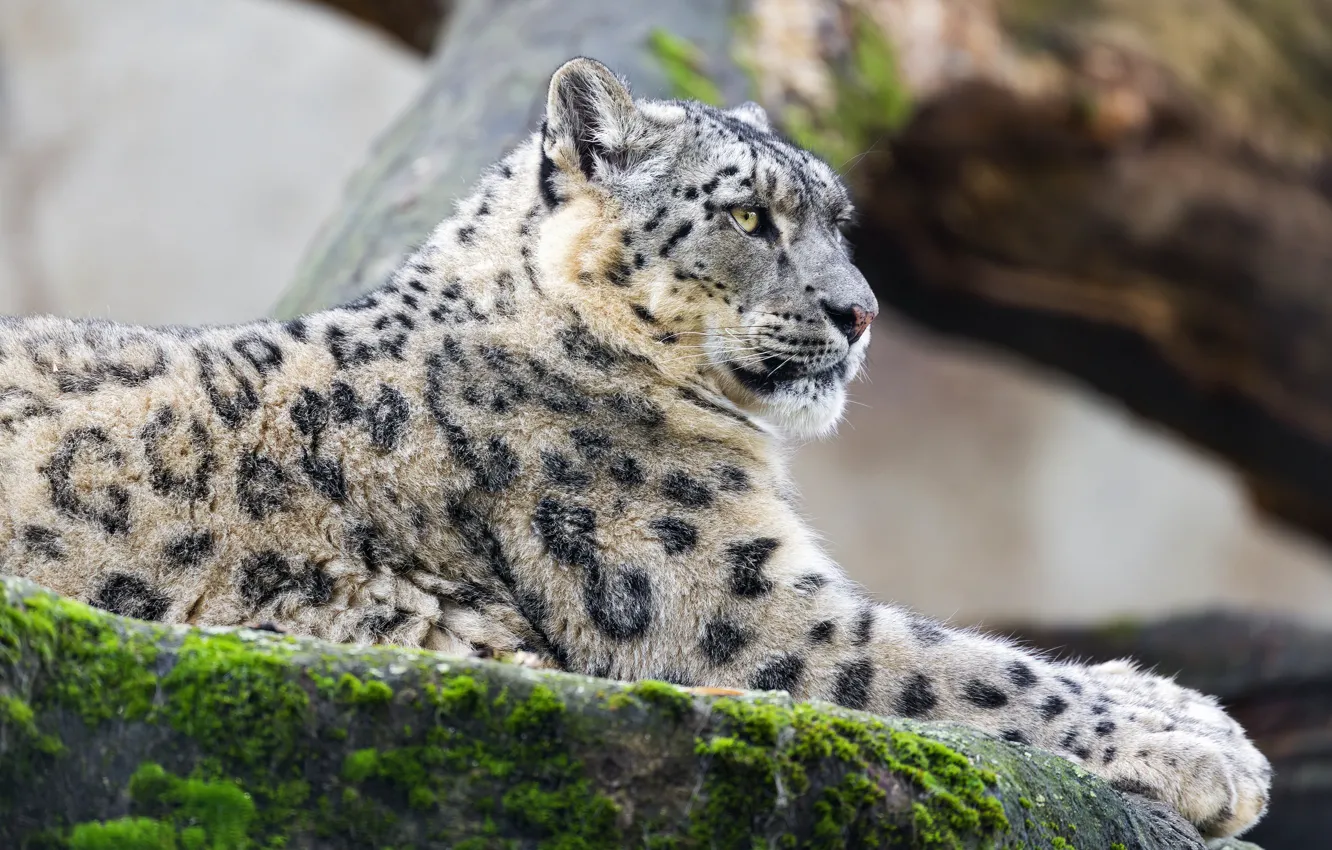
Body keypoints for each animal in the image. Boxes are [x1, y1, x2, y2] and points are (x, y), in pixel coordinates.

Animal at [0, 57, 1269, 838]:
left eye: (840, 219)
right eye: (750, 215)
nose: (861, 312)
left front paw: (1190, 709)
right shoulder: (737, 608)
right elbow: (961, 663)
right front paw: (1209, 758)